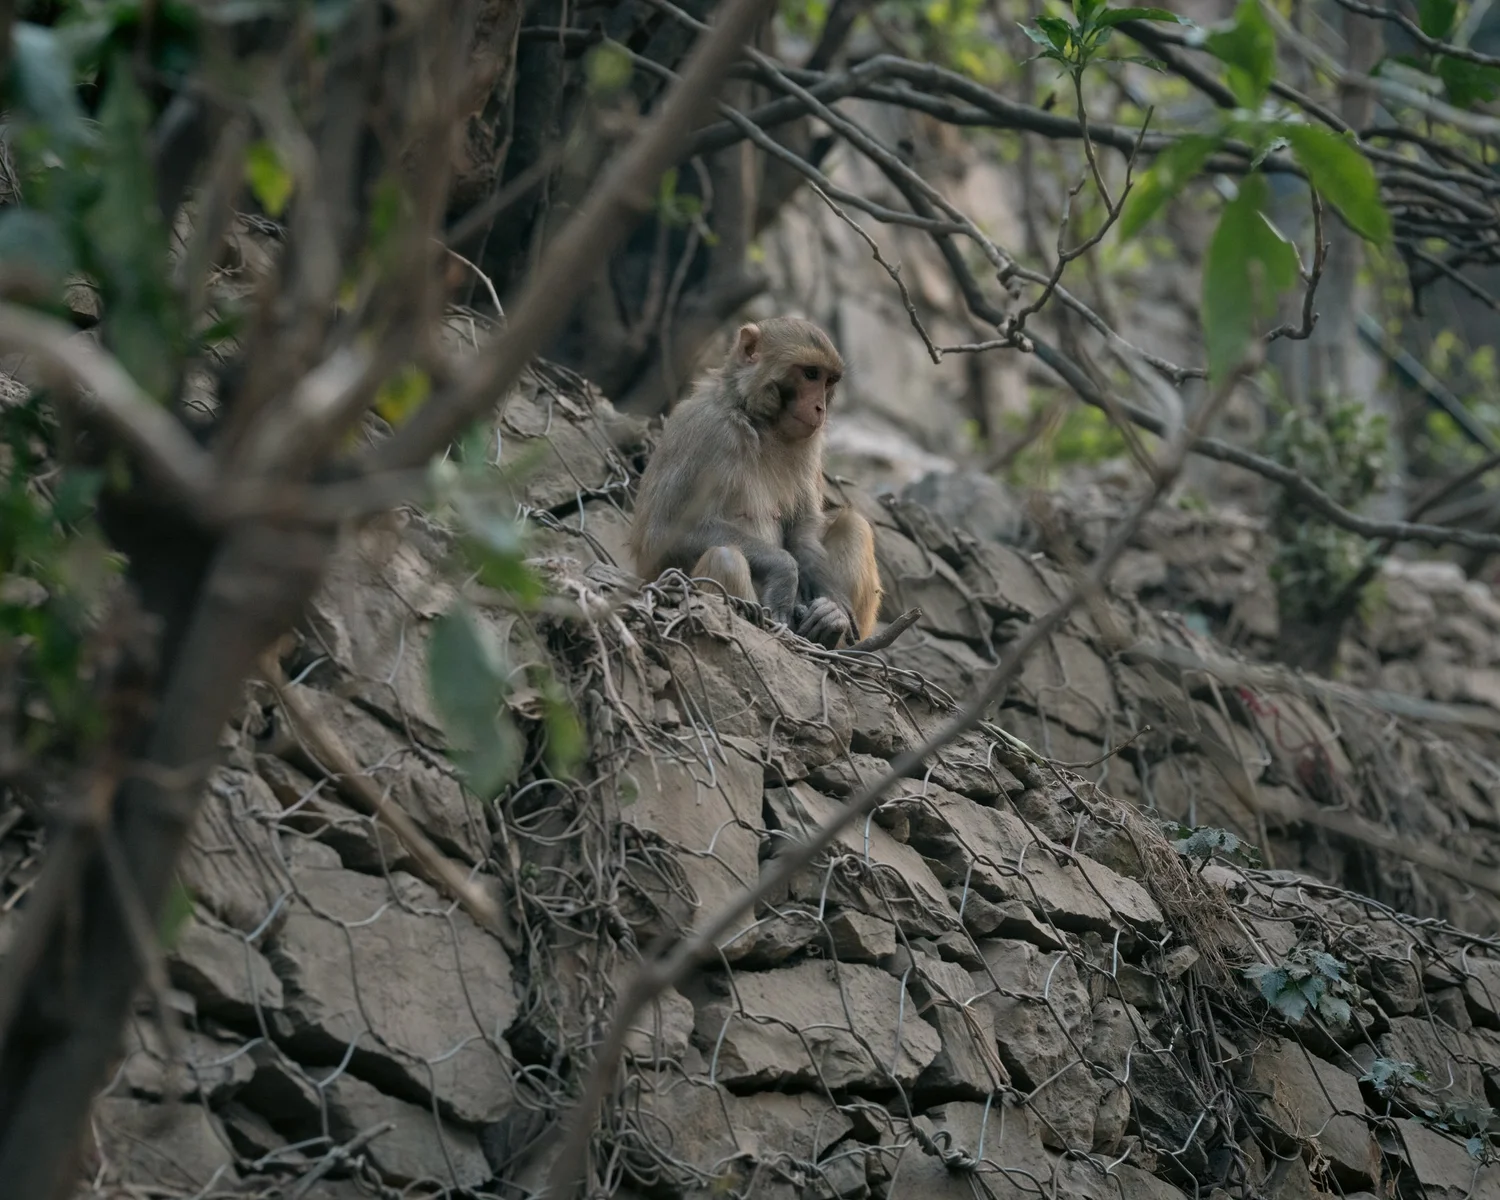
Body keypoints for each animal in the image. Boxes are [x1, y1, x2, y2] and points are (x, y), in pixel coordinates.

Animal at [629, 316, 883, 650]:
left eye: (828, 381)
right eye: (810, 374)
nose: (820, 408)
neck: (758, 422)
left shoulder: (809, 447)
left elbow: (801, 531)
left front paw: (833, 609)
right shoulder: (707, 431)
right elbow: (662, 533)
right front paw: (784, 571)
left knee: (855, 524)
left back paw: (832, 640)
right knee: (725, 559)